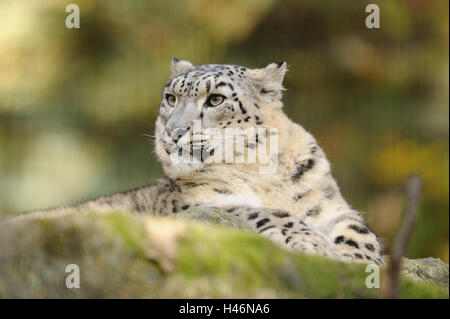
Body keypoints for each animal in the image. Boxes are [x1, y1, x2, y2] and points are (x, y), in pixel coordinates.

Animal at [22, 58, 384, 266]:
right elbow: (260, 212)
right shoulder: (193, 205)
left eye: (216, 99)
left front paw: (361, 260)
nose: (173, 131)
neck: (263, 177)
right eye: (170, 98)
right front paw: (313, 244)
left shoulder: (330, 206)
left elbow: (358, 230)